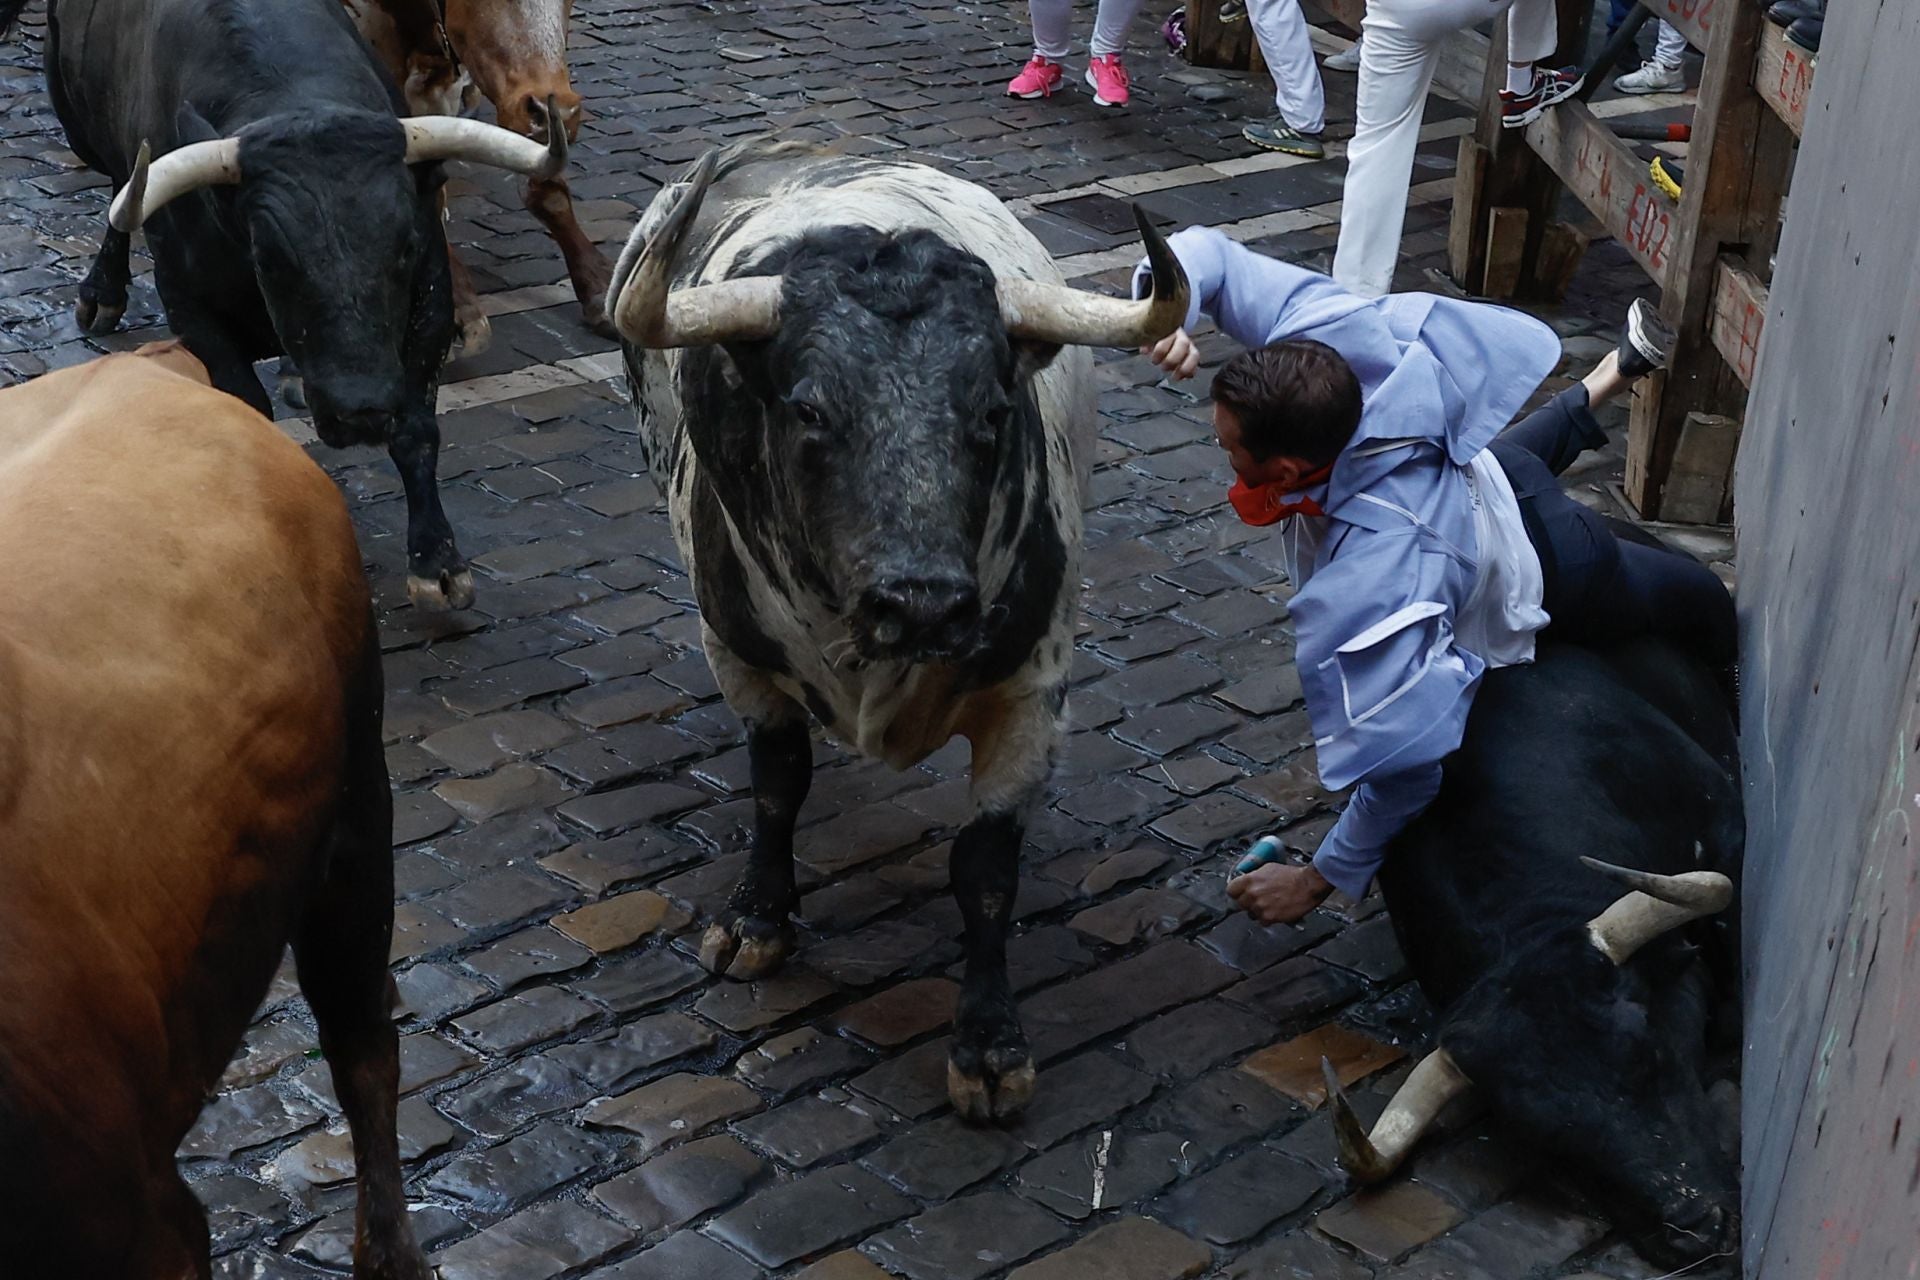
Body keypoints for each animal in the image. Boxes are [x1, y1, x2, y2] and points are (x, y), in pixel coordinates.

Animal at [11, 0, 568, 610]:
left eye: (403, 246)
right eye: (270, 257)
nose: (360, 410)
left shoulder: (431, 298)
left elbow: (418, 429)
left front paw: (437, 563)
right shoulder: (190, 308)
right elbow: (248, 407)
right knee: (118, 191)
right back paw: (103, 294)